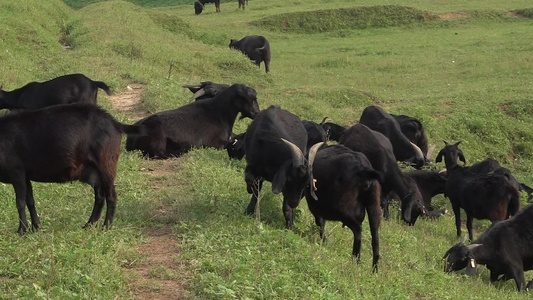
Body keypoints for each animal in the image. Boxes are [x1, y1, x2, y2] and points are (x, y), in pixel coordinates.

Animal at [0, 103, 145, 234]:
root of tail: (115, 123)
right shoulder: (26, 176)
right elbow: (30, 201)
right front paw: (35, 227)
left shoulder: (17, 173)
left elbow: (20, 203)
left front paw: (22, 230)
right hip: (93, 171)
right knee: (99, 197)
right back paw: (89, 224)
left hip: (106, 164)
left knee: (111, 196)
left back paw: (106, 226)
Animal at [304, 144, 382, 274]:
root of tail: (364, 170)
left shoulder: (317, 208)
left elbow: (320, 224)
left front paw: (324, 243)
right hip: (374, 206)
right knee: (375, 238)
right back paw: (374, 269)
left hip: (343, 210)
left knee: (358, 230)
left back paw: (356, 260)